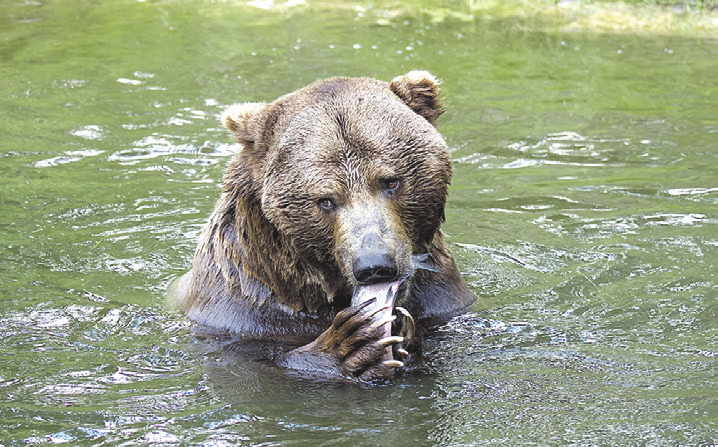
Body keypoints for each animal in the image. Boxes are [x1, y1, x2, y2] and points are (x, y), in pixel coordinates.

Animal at [174, 71, 476, 384]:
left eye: (391, 181)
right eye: (326, 200)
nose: (375, 265)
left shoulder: (440, 297)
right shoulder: (245, 311)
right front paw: (351, 343)